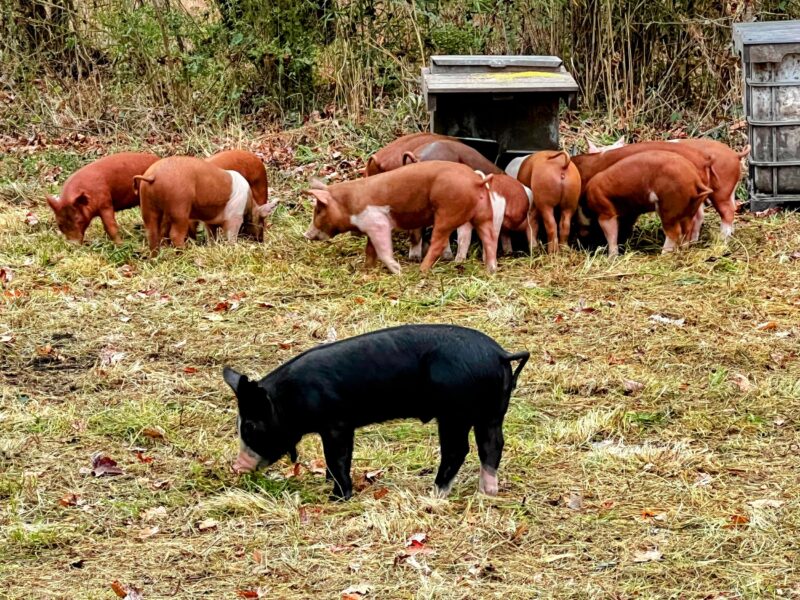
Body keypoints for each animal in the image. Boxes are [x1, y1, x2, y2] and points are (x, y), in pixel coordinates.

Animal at [136, 156, 271, 255]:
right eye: (261, 221)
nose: (261, 241)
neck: (249, 203)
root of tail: (152, 176)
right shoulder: (234, 218)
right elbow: (231, 236)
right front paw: (233, 247)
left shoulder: (210, 221)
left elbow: (211, 236)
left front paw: (212, 246)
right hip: (179, 207)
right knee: (175, 235)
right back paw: (185, 253)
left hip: (147, 206)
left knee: (152, 233)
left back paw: (155, 258)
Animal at [223, 324, 530, 499]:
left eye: (250, 426)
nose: (236, 467)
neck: (289, 398)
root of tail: (499, 355)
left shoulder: (336, 424)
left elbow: (338, 459)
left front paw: (338, 497)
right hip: (493, 412)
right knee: (492, 445)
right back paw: (486, 493)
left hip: (454, 413)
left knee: (458, 450)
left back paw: (434, 495)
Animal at [303, 161, 503, 274]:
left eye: (318, 210)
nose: (306, 234)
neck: (349, 204)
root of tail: (476, 181)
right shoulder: (370, 228)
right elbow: (370, 250)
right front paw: (366, 269)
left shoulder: (378, 223)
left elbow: (383, 250)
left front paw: (398, 271)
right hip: (484, 213)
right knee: (490, 238)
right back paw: (491, 270)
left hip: (447, 213)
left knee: (438, 243)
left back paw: (421, 271)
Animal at [583, 150, 713, 257]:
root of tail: (695, 179)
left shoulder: (605, 209)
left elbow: (610, 233)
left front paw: (611, 257)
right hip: (689, 209)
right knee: (687, 229)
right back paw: (683, 249)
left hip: (669, 207)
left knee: (674, 232)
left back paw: (663, 255)